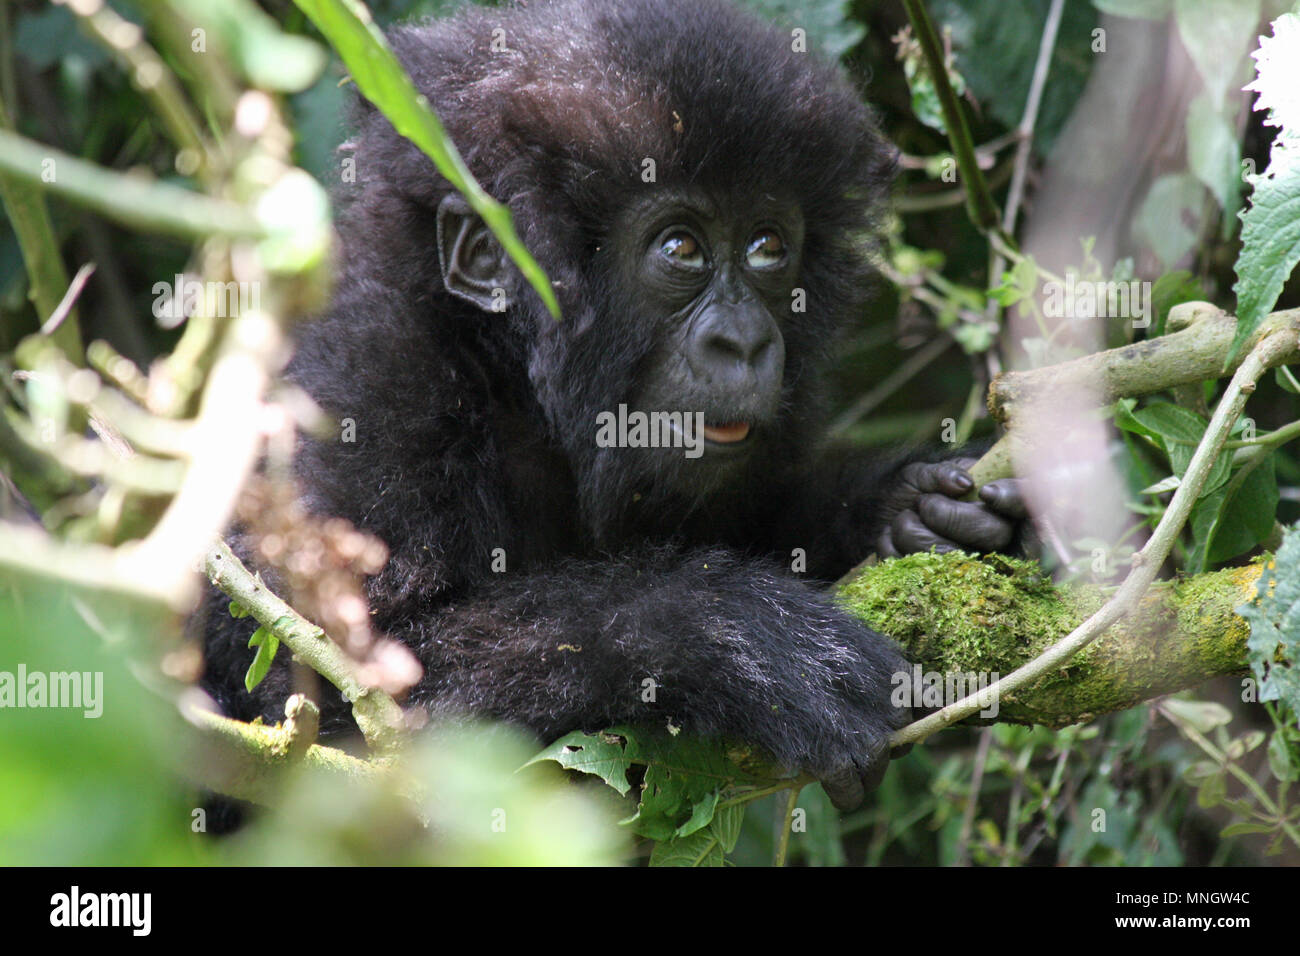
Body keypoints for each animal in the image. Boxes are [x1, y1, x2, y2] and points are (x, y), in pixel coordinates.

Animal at [197, 0, 1019, 811]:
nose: (746, 340)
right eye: (681, 249)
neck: (511, 375)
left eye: (766, 246)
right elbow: (342, 703)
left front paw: (899, 506)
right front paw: (741, 639)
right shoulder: (372, 386)